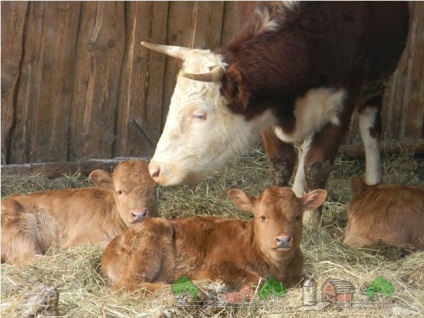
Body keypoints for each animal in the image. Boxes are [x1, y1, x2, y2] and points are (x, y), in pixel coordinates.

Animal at [101, 186, 326, 294]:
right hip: (151, 237)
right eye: (262, 217)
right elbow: (259, 280)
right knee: (128, 284)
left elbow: (308, 280)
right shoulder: (218, 265)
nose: (283, 239)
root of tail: (107, 251)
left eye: (297, 217)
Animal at [142, 1, 408, 221]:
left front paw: (311, 222)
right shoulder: (266, 107)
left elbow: (317, 164)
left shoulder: (342, 103)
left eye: (199, 114)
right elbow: (282, 161)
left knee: (370, 127)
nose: (155, 170)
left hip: (376, 85)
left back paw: (373, 181)